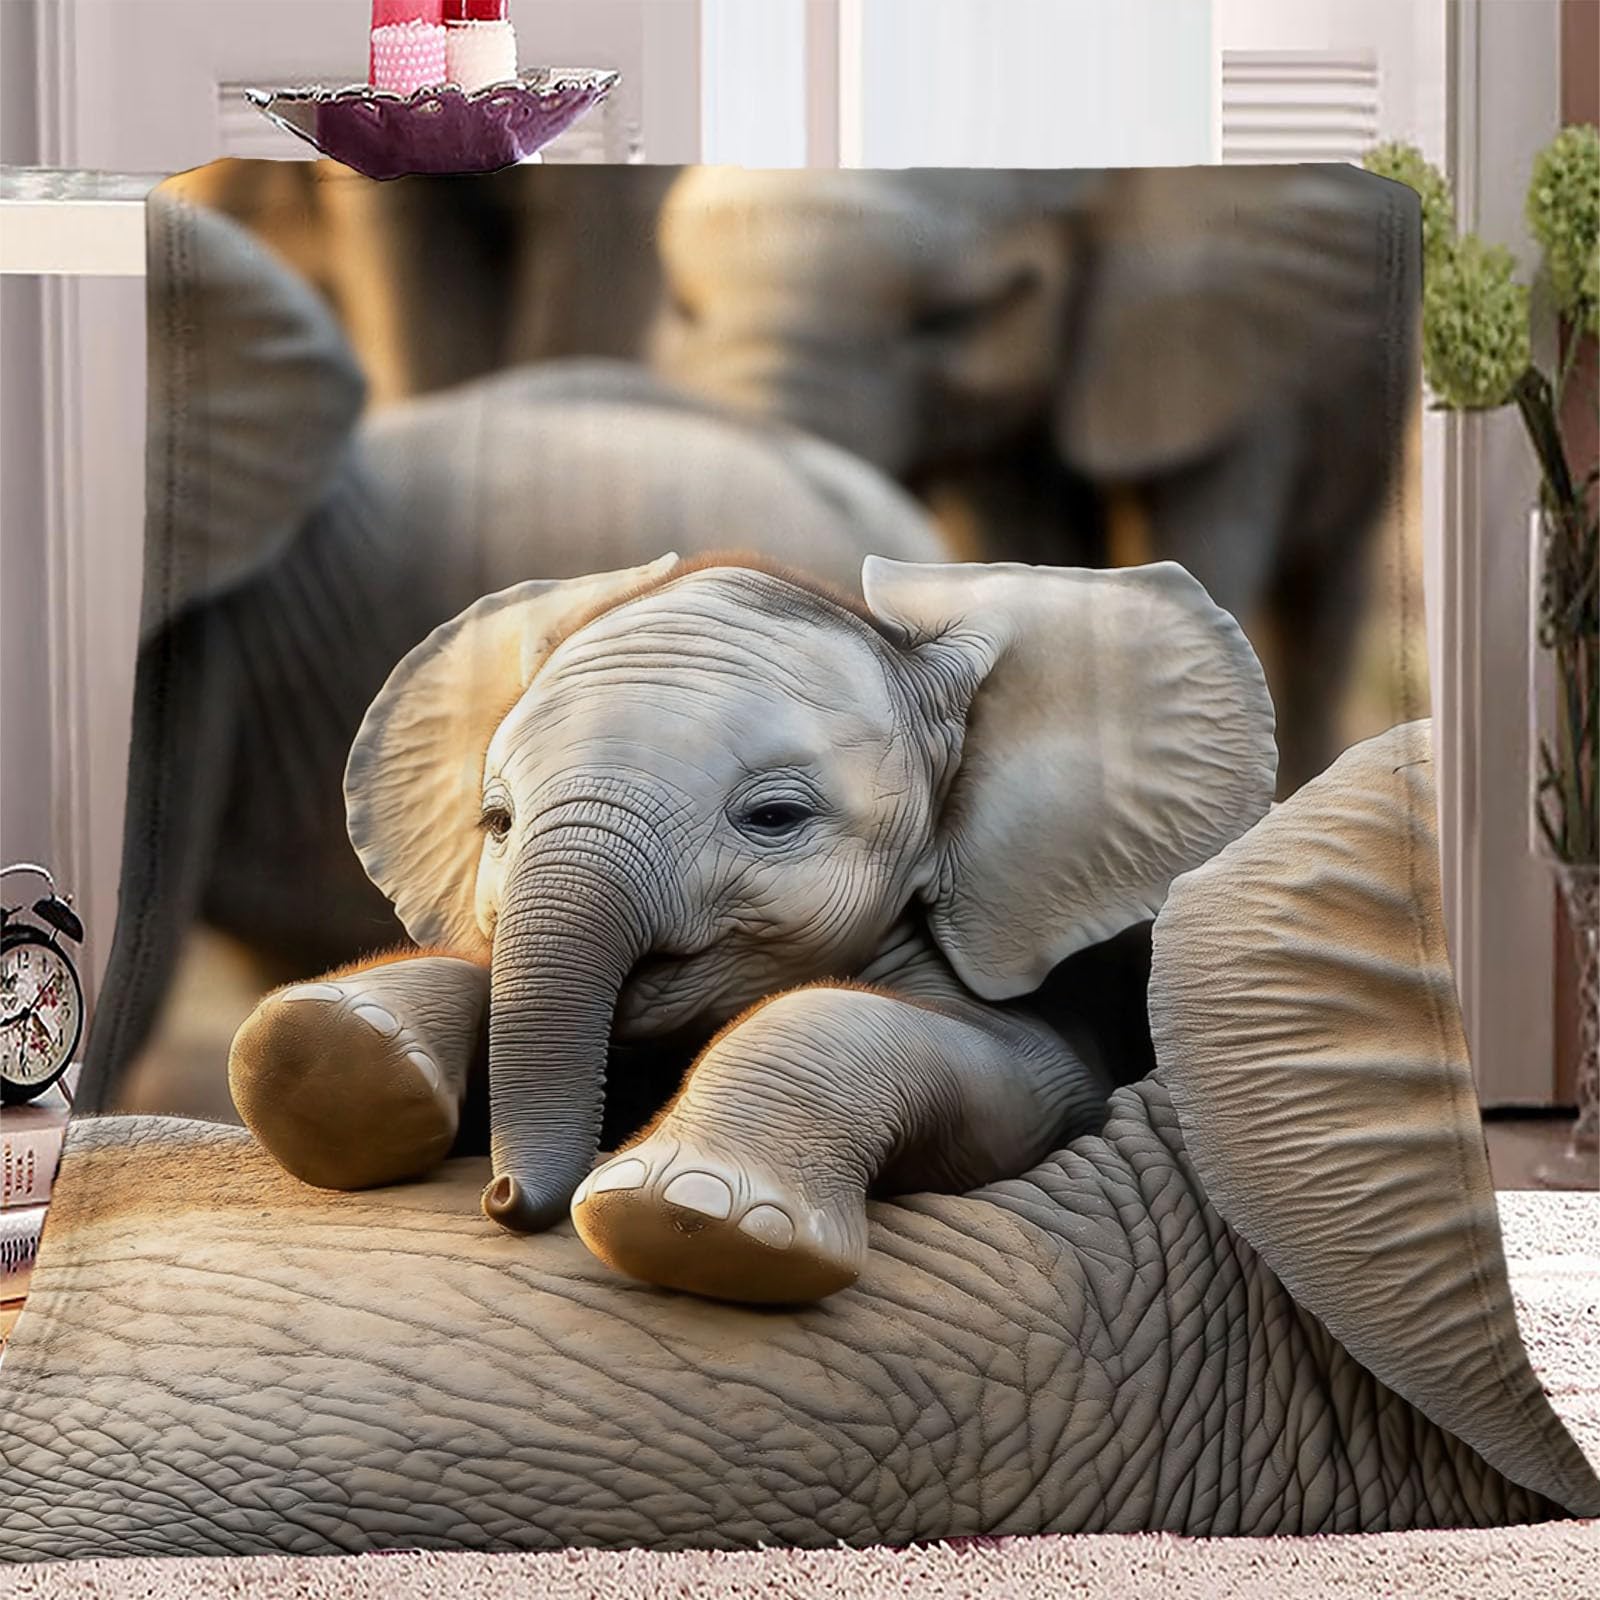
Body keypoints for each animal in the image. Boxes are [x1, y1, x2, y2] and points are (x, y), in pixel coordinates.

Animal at [227, 549, 1278, 1301]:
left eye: (773, 818)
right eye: (497, 824)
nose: (505, 1199)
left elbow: (1016, 1069)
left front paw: (690, 1221)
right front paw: (321, 1059)